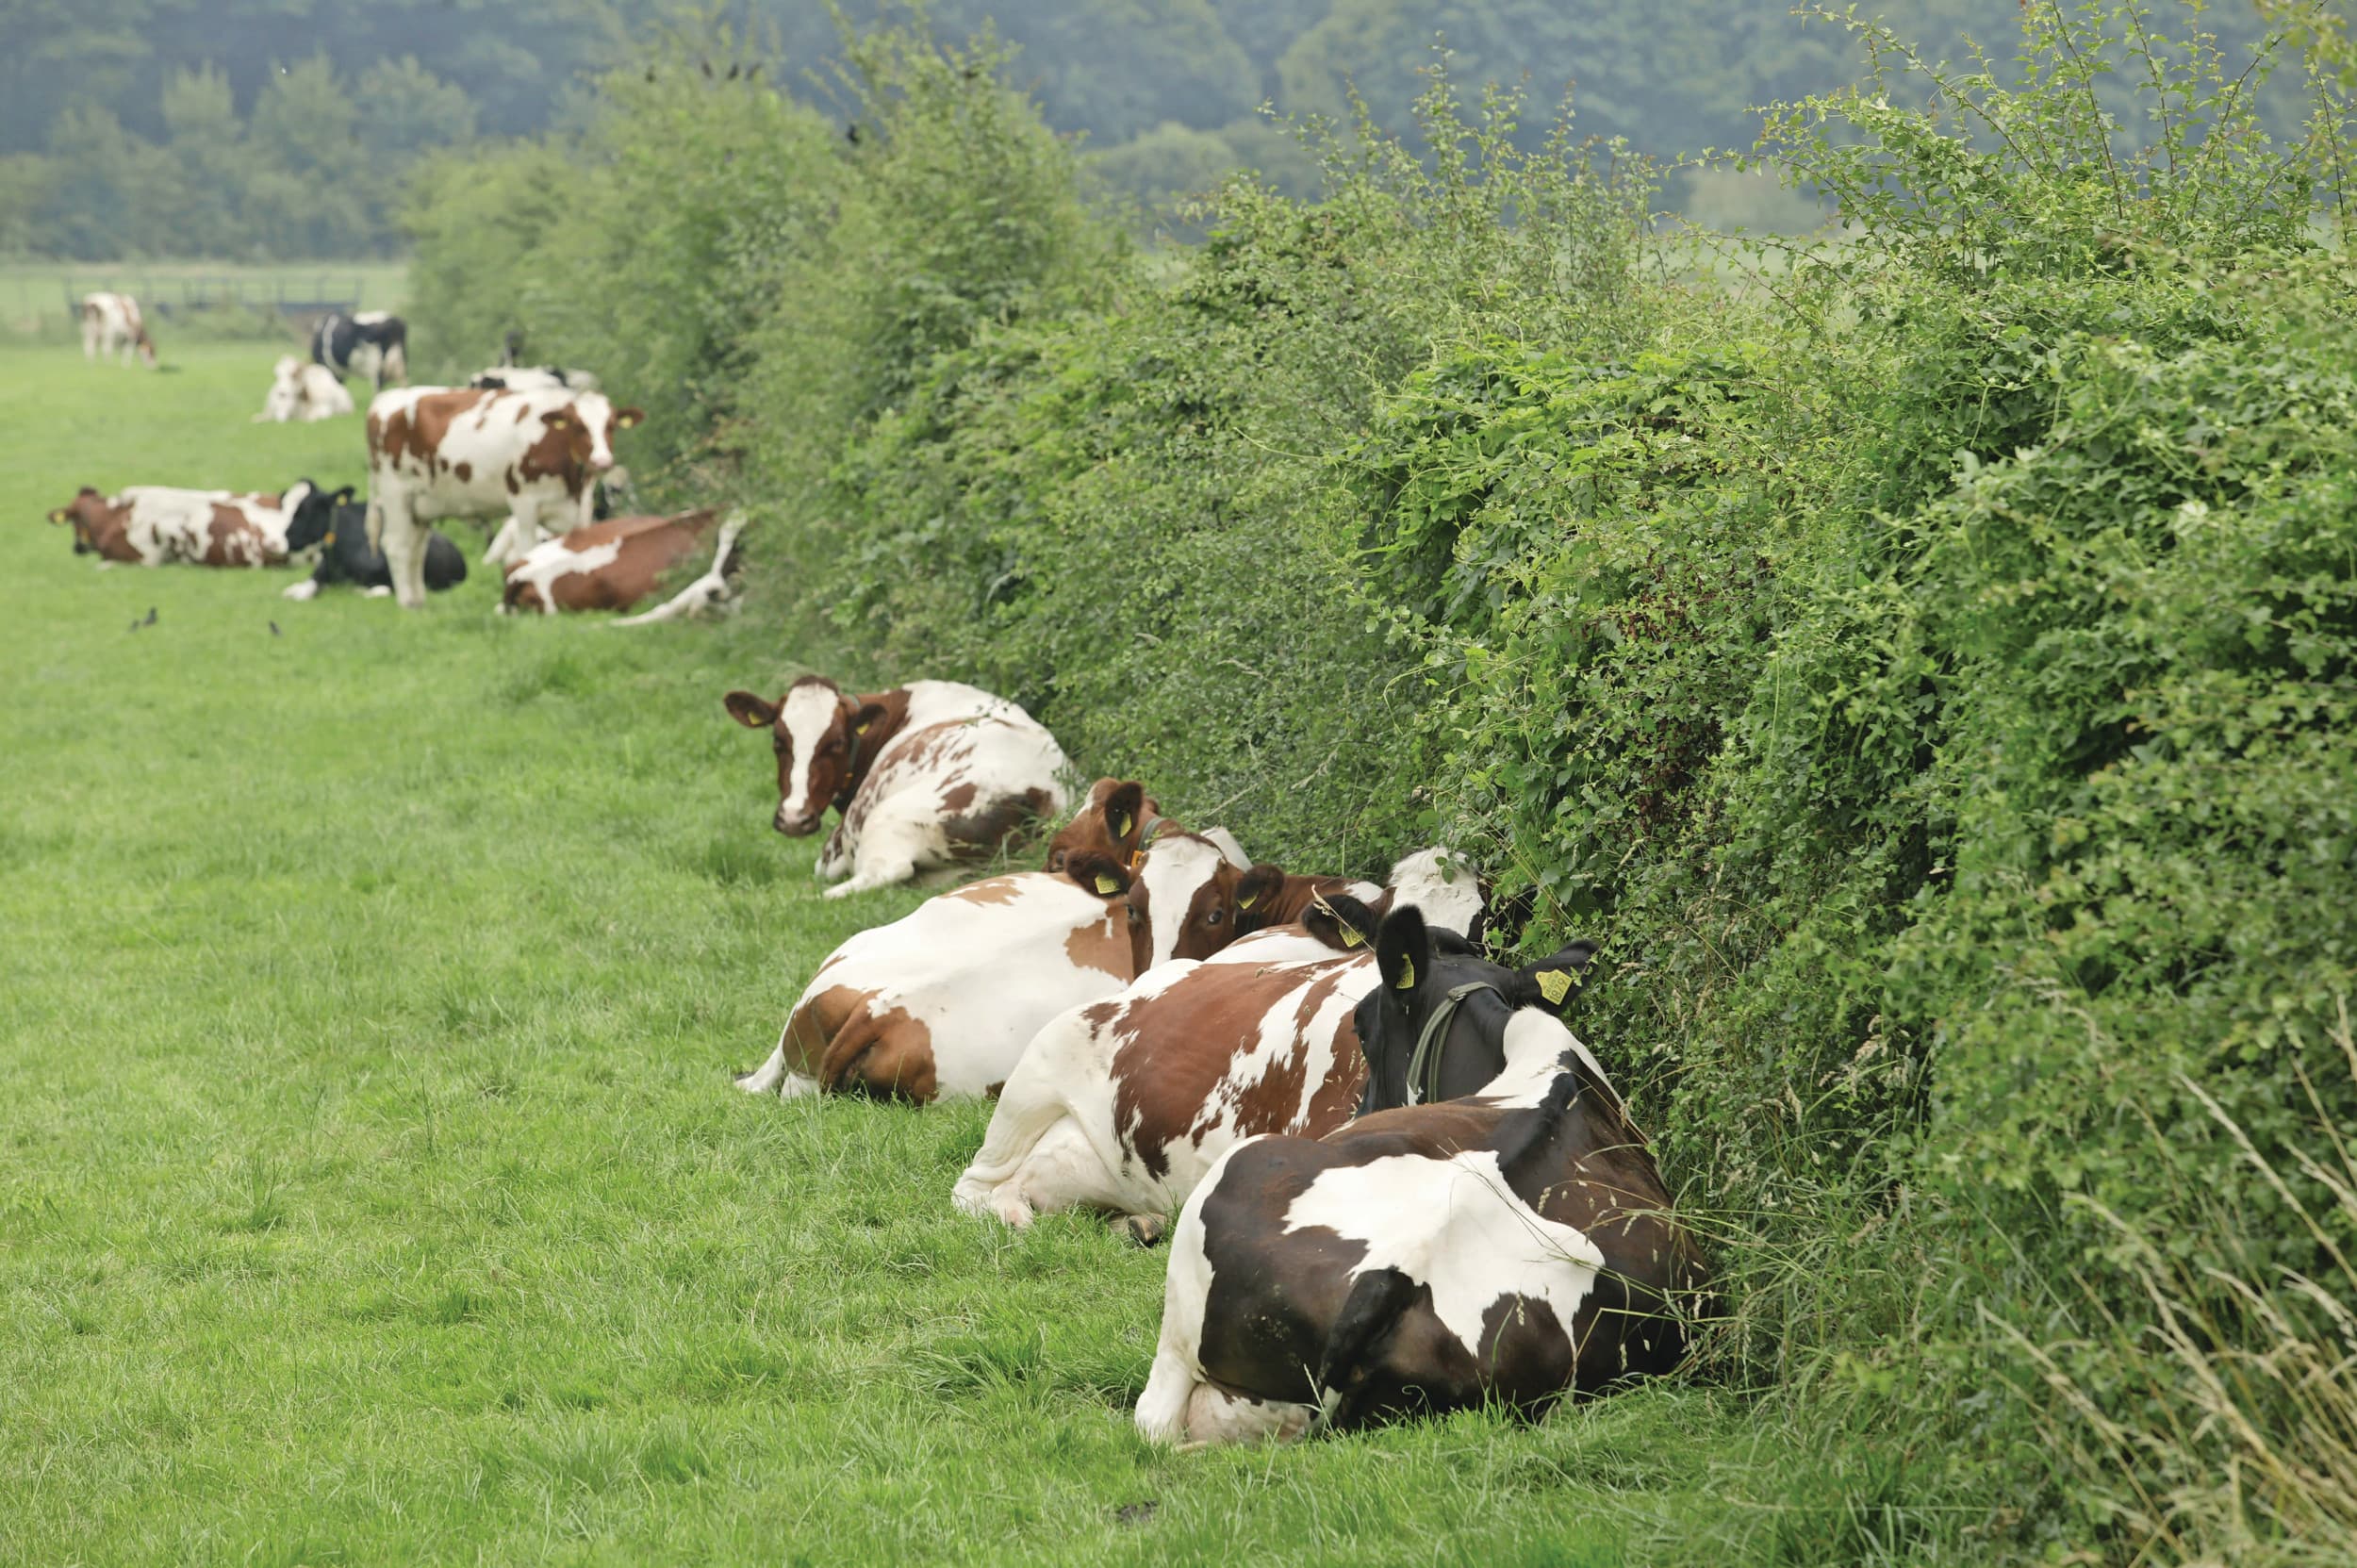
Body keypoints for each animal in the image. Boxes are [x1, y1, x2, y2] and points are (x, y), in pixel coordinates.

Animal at [278, 484, 465, 600]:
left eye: (303, 510)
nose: (286, 535)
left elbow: (376, 590)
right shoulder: (321, 573)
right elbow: (305, 589)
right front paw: (294, 591)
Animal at [363, 383, 645, 605]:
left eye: (611, 425)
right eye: (578, 426)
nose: (602, 461)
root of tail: (386, 399)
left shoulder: (580, 507)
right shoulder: (524, 502)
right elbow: (528, 551)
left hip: (421, 505)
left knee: (416, 548)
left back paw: (418, 601)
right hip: (395, 493)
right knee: (397, 545)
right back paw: (406, 603)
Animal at [721, 676, 1071, 898]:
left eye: (836, 743)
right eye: (778, 741)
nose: (794, 819)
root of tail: (1044, 792)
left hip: (890, 815)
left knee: (885, 871)